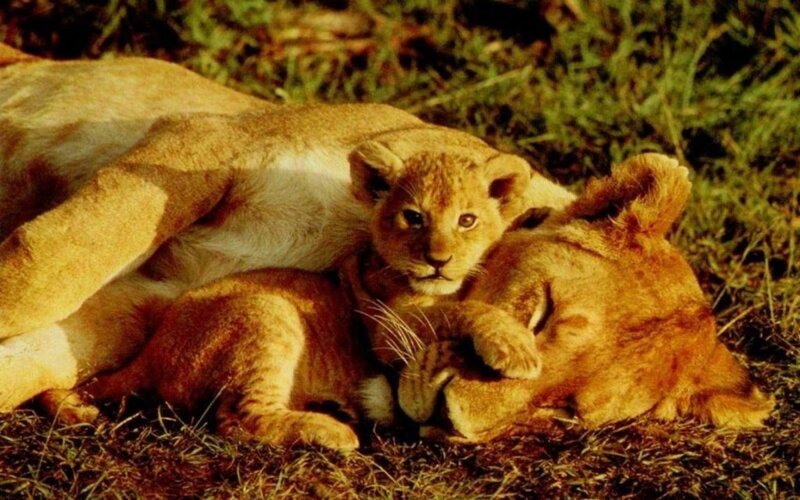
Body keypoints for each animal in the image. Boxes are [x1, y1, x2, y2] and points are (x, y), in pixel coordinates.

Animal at [0, 44, 574, 411]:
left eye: (561, 411)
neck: (353, 237)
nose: (453, 421)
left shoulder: (158, 293)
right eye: (539, 313)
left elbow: (41, 348)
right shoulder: (204, 141)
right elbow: (41, 275)